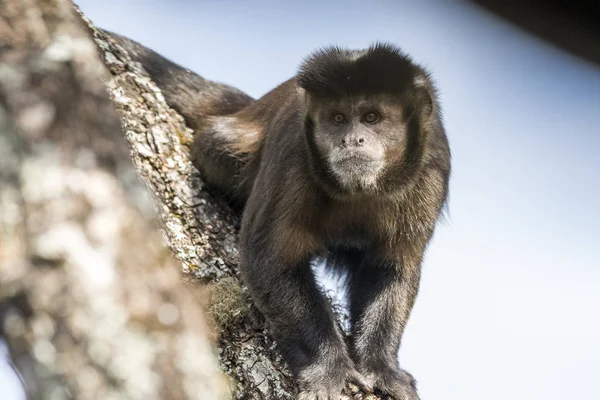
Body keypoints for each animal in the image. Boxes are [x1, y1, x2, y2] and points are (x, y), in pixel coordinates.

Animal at [104, 29, 450, 398]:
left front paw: (381, 368)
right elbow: (268, 257)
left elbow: (392, 268)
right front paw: (328, 369)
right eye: (338, 119)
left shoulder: (432, 164)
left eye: (372, 117)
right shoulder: (292, 149)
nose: (351, 140)